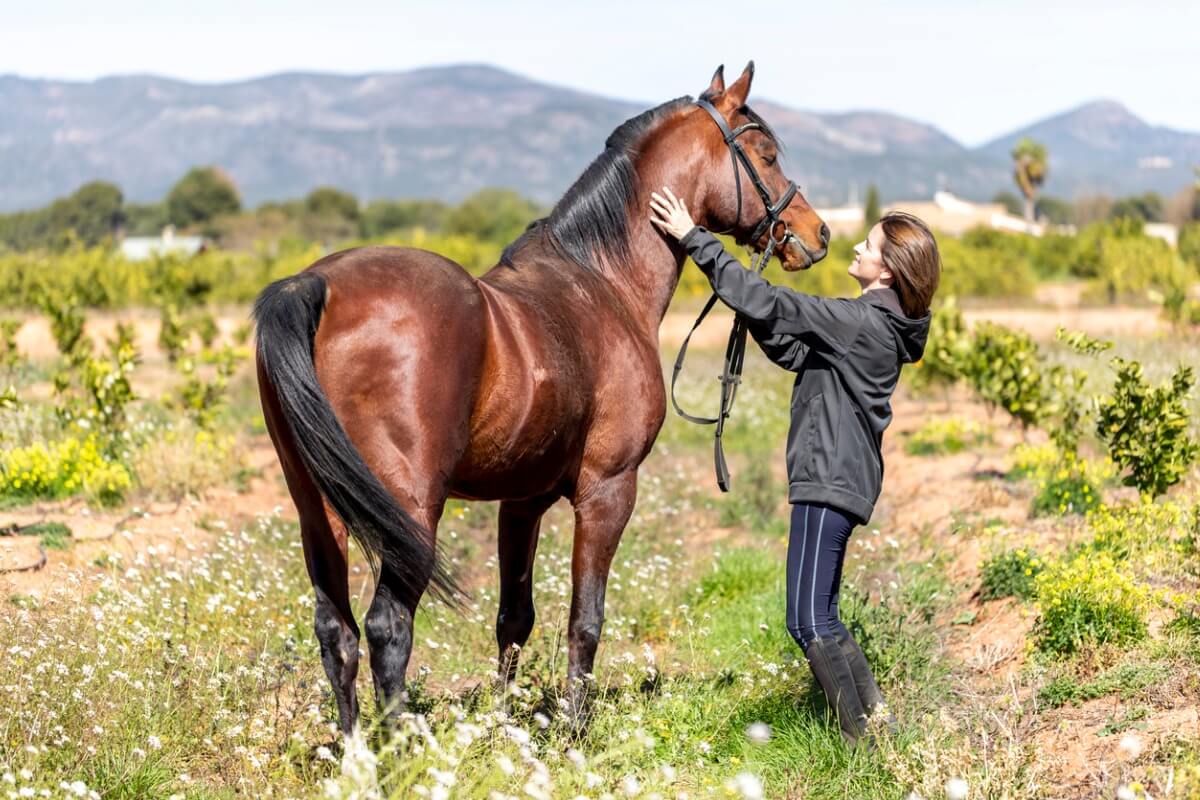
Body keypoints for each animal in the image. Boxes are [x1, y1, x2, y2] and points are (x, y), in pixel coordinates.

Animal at [253, 64, 830, 738]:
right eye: (765, 154)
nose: (817, 234)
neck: (603, 283)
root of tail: (313, 285)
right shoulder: (608, 489)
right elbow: (586, 619)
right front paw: (574, 731)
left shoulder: (521, 501)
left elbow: (514, 620)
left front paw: (504, 728)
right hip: (410, 511)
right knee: (387, 629)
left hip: (319, 509)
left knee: (336, 632)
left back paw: (353, 753)